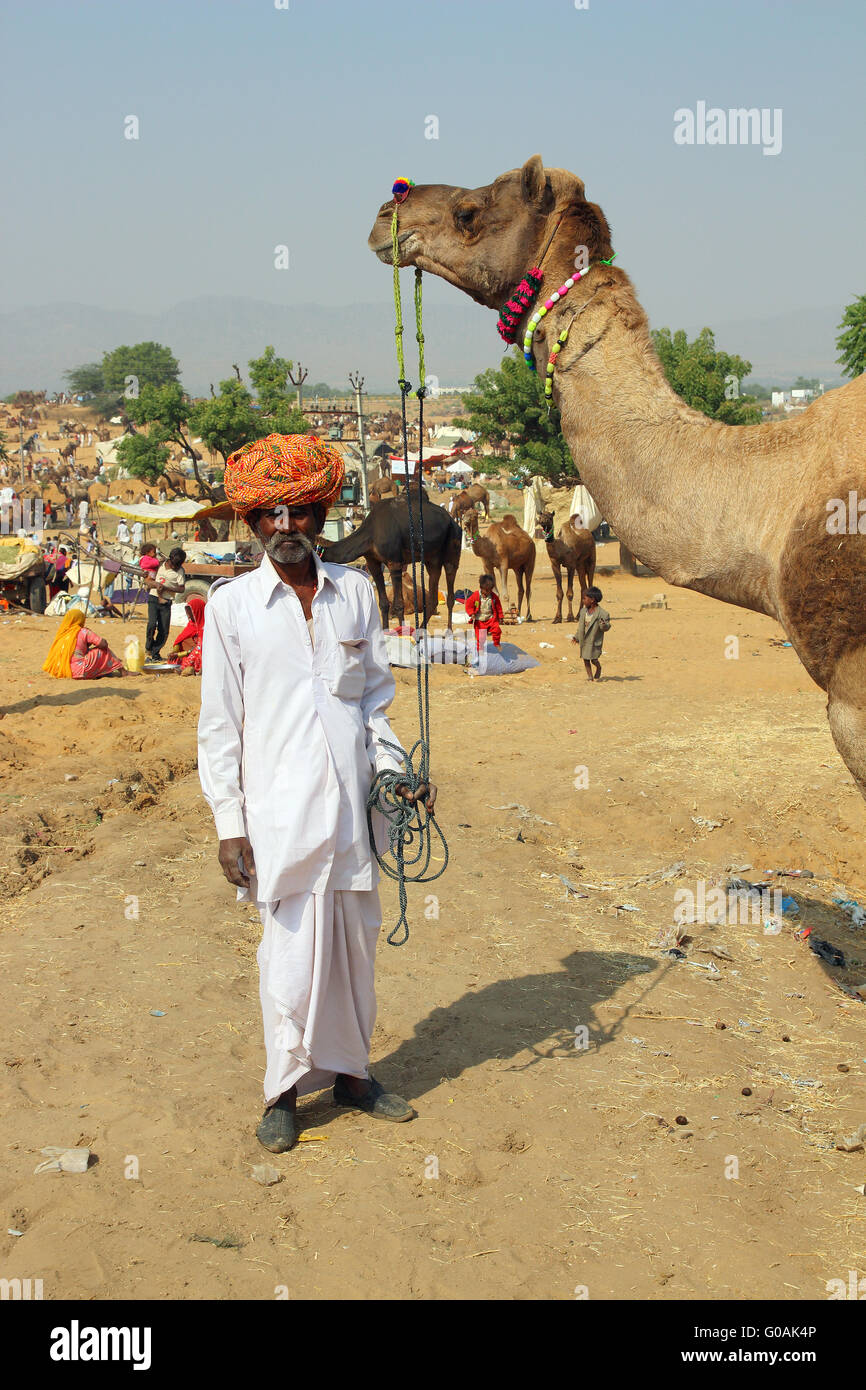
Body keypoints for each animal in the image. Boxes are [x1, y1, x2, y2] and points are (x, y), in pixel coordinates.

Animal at [326, 491, 462, 630]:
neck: (371, 532)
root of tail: (452, 520)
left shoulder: (394, 563)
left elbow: (398, 604)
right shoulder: (372, 562)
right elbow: (383, 603)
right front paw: (385, 630)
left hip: (453, 545)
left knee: (450, 587)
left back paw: (448, 630)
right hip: (432, 560)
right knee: (433, 597)